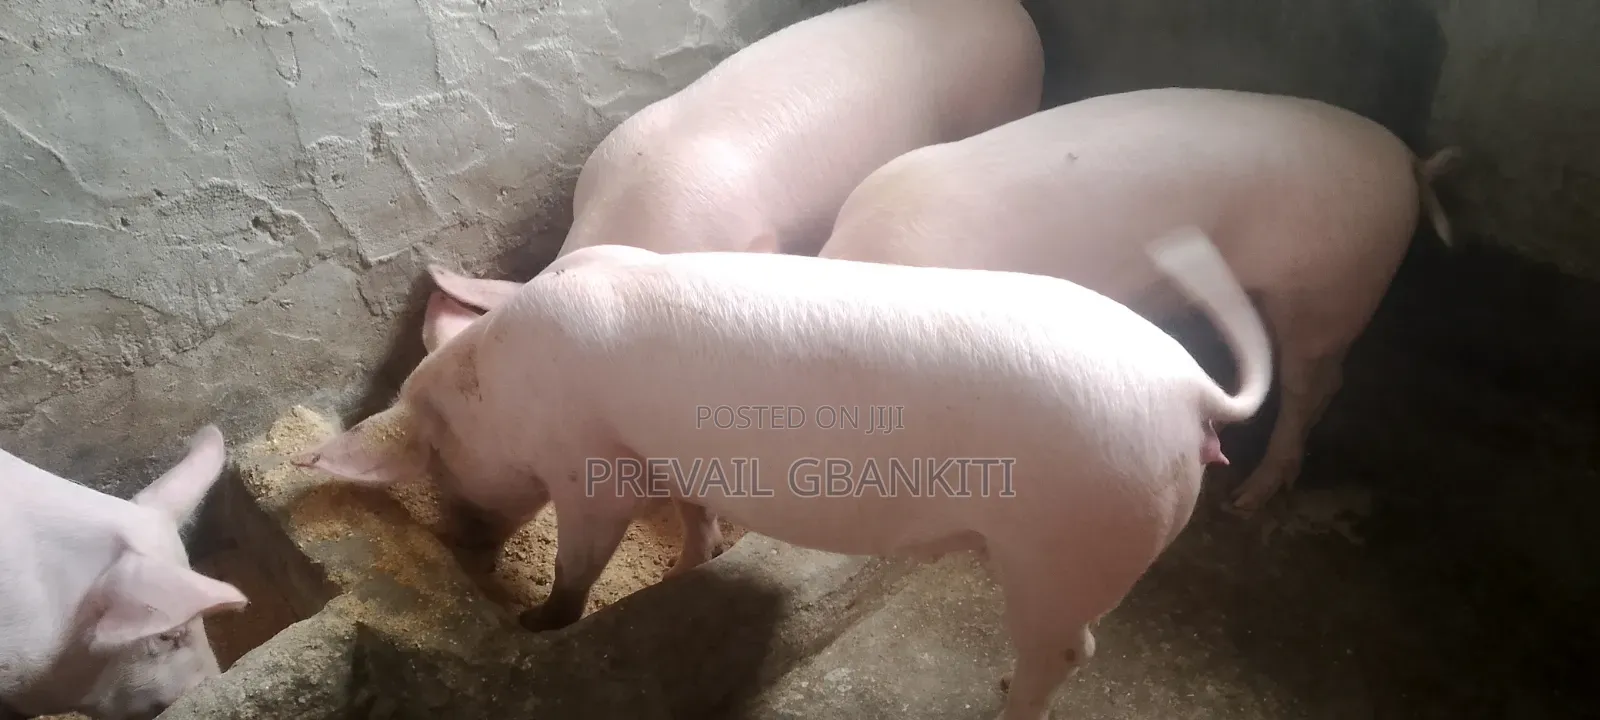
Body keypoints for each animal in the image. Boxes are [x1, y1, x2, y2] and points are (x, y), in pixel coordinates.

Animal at [292, 226, 1271, 720]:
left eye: (441, 472)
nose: (469, 545)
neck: (500, 387)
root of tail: (1192, 391)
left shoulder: (592, 468)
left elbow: (582, 560)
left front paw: (541, 624)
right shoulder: (669, 454)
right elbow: (695, 515)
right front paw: (692, 567)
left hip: (1071, 540)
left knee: (1069, 649)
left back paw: (1006, 705)